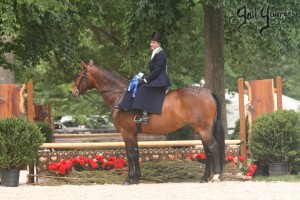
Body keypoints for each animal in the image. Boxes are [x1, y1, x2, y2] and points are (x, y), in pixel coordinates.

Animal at [71, 59, 224, 184]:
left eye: (79, 75)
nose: (73, 92)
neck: (120, 95)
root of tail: (208, 91)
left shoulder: (126, 132)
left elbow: (130, 154)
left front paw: (129, 178)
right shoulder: (133, 134)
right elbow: (136, 153)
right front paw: (136, 177)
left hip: (203, 129)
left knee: (214, 147)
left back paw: (216, 176)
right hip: (201, 129)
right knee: (207, 150)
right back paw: (204, 177)